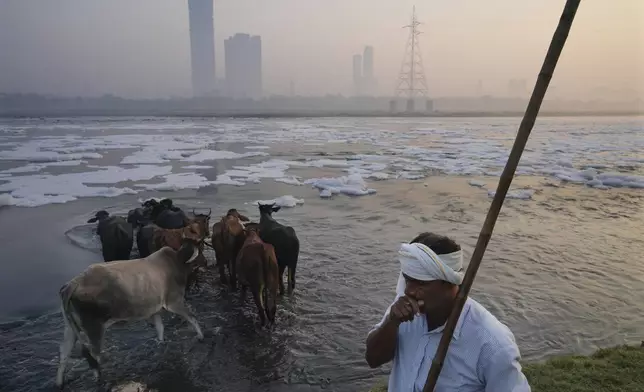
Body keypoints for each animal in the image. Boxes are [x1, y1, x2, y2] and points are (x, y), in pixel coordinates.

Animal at [57, 237, 205, 388]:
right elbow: (192, 317)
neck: (176, 261)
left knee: (64, 353)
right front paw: (201, 336)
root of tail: (73, 283)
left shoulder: (155, 310)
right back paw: (100, 381)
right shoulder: (174, 302)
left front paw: (161, 344)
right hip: (94, 328)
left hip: (70, 328)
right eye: (200, 252)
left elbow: (160, 329)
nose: (205, 263)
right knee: (93, 356)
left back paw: (59, 383)